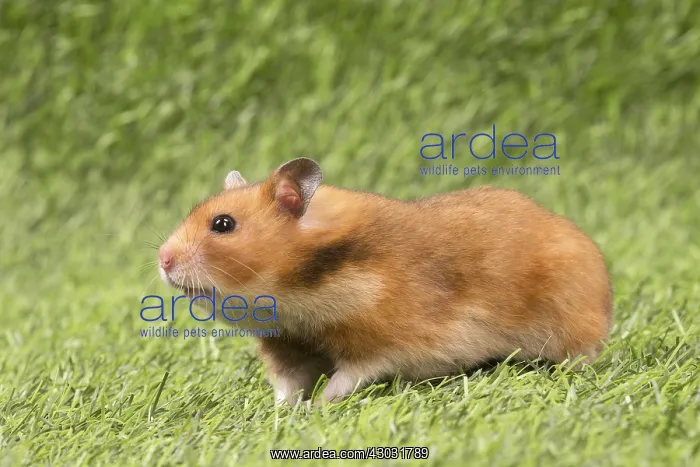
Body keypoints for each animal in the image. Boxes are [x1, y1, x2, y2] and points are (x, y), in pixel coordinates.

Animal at [157, 158, 613, 404]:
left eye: (223, 224)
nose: (162, 260)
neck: (298, 292)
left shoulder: (381, 345)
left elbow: (346, 379)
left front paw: (317, 408)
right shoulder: (287, 346)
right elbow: (288, 388)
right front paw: (283, 414)